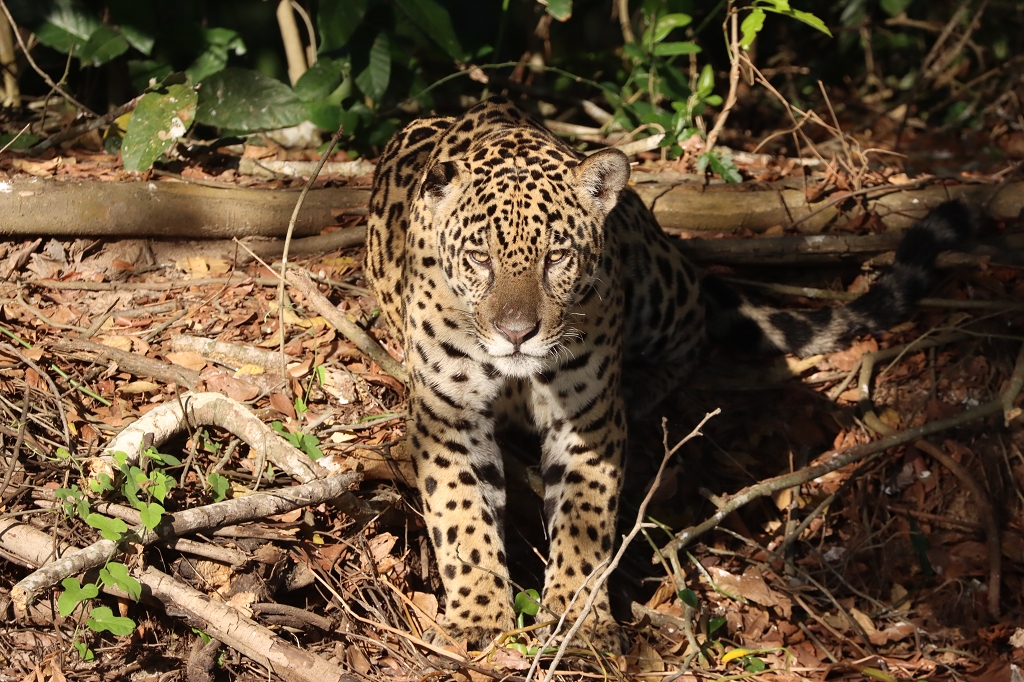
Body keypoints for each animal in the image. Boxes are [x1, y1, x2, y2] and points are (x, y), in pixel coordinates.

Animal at [365, 96, 972, 652]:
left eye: (556, 257)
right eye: (479, 257)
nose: (517, 332)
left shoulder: (587, 419)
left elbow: (584, 524)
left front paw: (579, 621)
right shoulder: (449, 417)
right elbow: (461, 514)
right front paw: (477, 619)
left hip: (656, 288)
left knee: (696, 324)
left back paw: (640, 384)